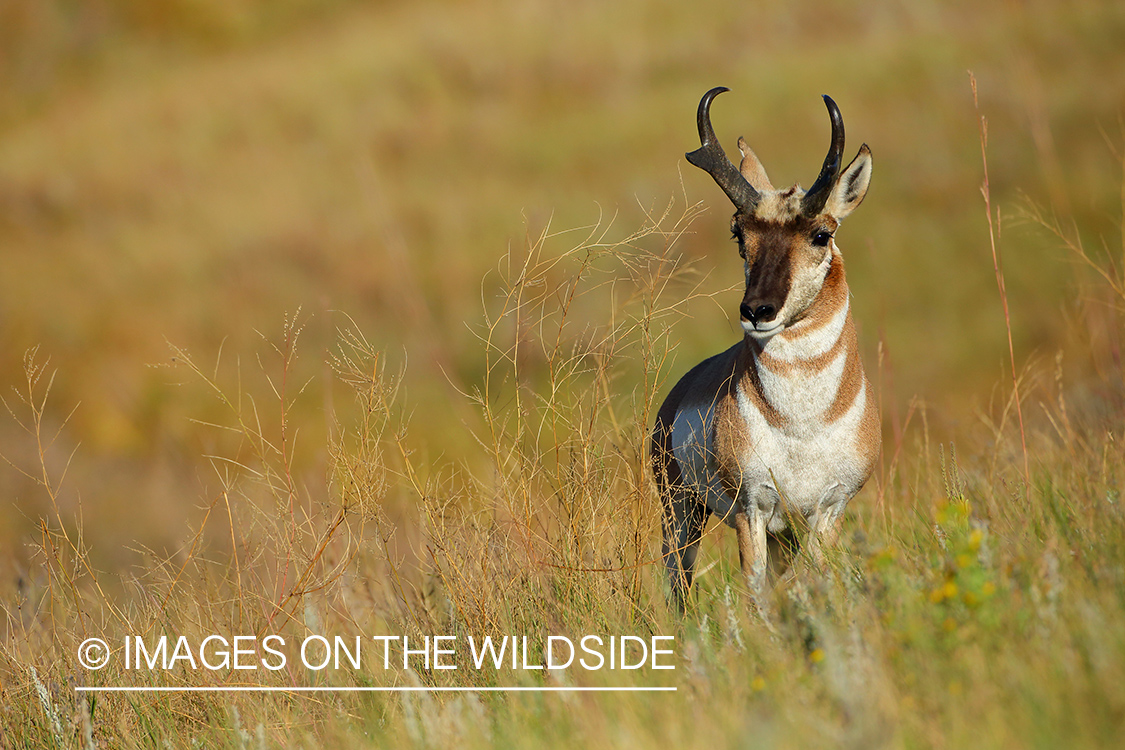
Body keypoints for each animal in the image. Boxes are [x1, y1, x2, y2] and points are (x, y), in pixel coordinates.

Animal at [657, 89, 882, 611]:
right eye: (739, 233)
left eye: (822, 233)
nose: (757, 310)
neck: (801, 424)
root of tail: (676, 393)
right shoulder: (752, 509)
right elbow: (756, 590)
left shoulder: (827, 510)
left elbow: (817, 581)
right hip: (681, 511)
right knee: (678, 584)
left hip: (780, 531)